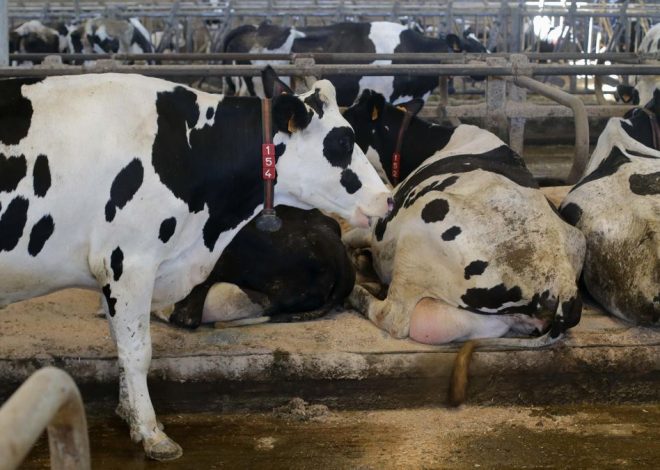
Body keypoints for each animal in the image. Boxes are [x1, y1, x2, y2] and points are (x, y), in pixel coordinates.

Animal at [342, 91, 585, 402]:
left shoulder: (380, 225)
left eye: (348, 120)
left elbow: (350, 235)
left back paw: (356, 291)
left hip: (421, 228)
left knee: (391, 317)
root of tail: (562, 284)